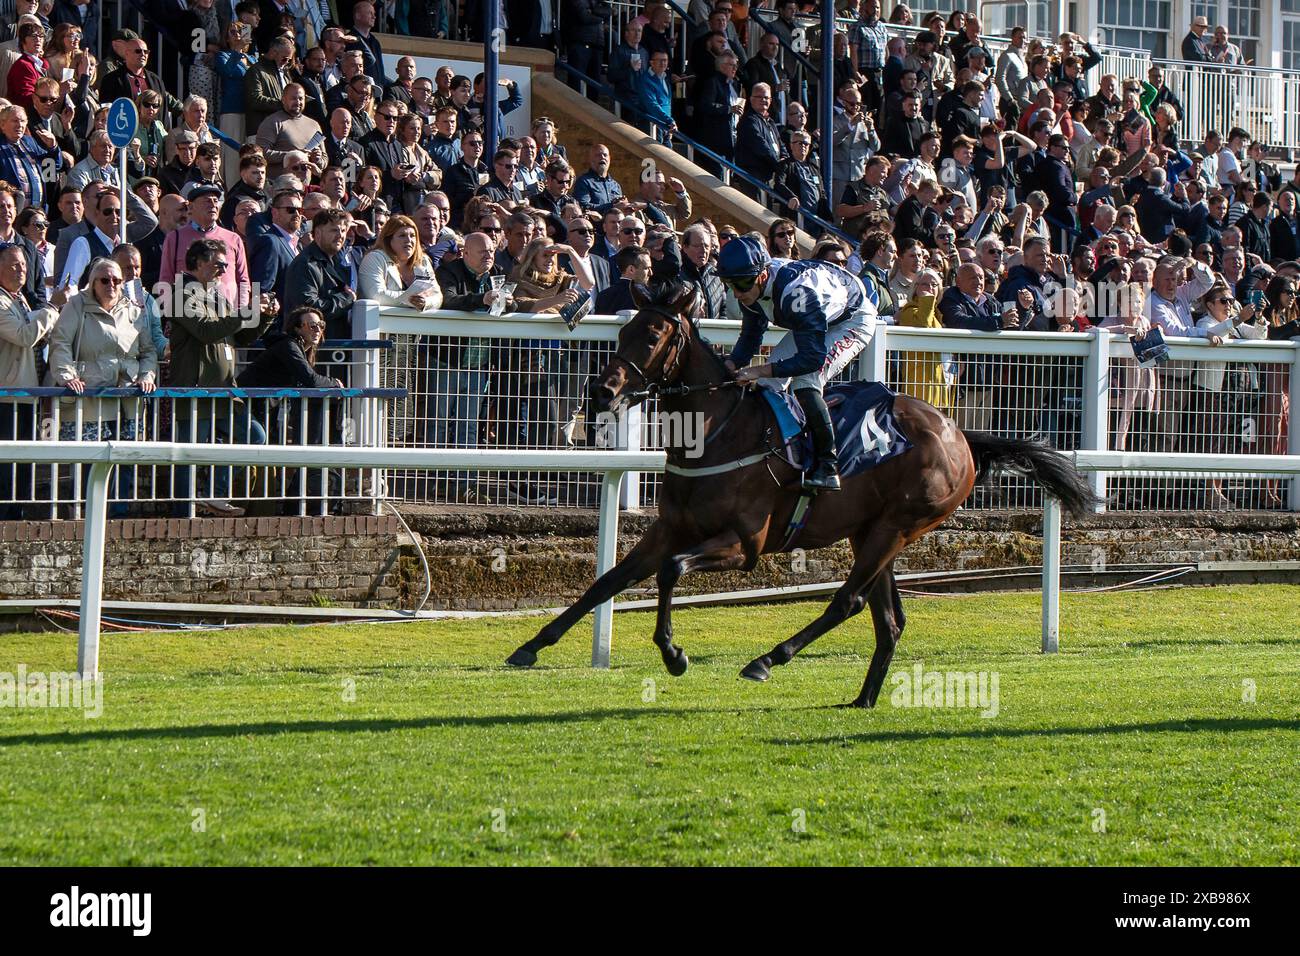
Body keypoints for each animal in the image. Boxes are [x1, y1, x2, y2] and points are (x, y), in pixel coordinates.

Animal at [501, 280, 1092, 707]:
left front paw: (673, 654)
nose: (601, 392)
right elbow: (607, 582)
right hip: (872, 533)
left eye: (651, 337)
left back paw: (768, 659)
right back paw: (862, 700)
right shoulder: (669, 529)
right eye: (622, 332)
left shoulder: (746, 544)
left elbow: (671, 571)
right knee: (888, 620)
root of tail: (961, 435)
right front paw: (529, 647)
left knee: (848, 601)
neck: (716, 431)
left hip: (897, 527)